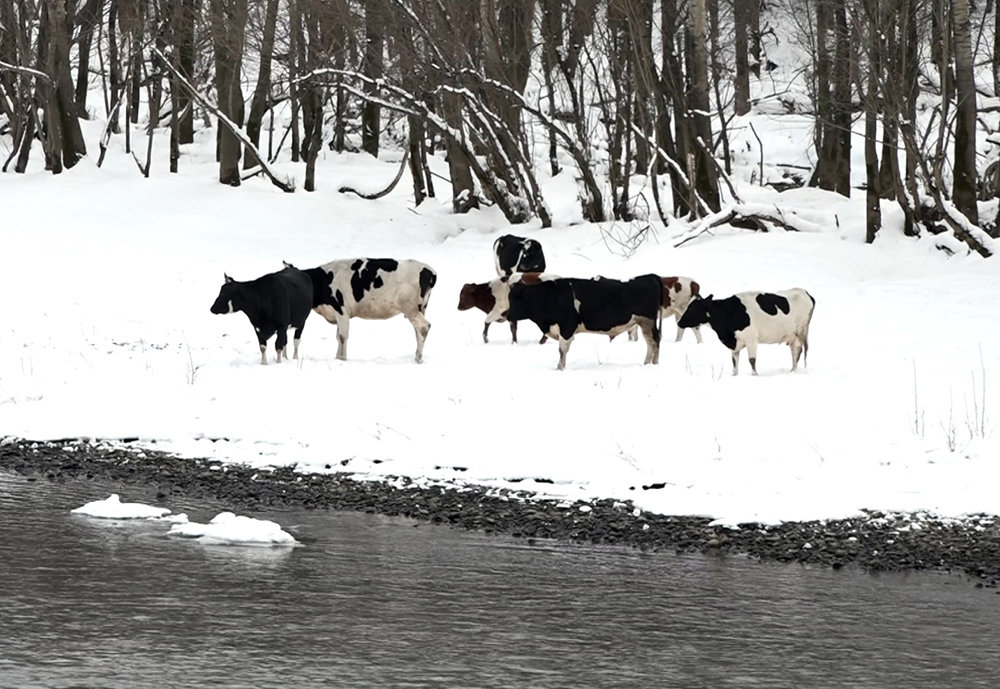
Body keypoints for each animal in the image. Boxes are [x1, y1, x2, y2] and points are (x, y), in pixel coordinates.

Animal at [284, 260, 436, 366]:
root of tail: (429, 271)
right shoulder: (338, 314)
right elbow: (338, 337)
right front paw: (337, 358)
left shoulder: (341, 310)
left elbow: (343, 336)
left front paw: (342, 359)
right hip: (420, 308)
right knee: (418, 331)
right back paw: (418, 356)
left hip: (410, 308)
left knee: (423, 327)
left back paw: (418, 358)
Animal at [508, 274, 664, 370]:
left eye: (517, 297)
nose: (507, 315)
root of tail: (649, 277)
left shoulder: (567, 327)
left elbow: (562, 350)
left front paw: (560, 368)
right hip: (646, 322)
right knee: (654, 341)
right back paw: (650, 364)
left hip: (647, 321)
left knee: (653, 341)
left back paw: (650, 364)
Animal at [676, 290, 816, 376]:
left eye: (692, 308)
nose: (679, 322)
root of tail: (805, 292)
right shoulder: (734, 344)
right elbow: (734, 361)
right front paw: (734, 375)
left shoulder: (751, 339)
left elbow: (752, 360)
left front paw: (755, 375)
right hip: (793, 336)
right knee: (795, 353)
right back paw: (792, 371)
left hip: (801, 332)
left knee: (797, 352)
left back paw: (793, 371)